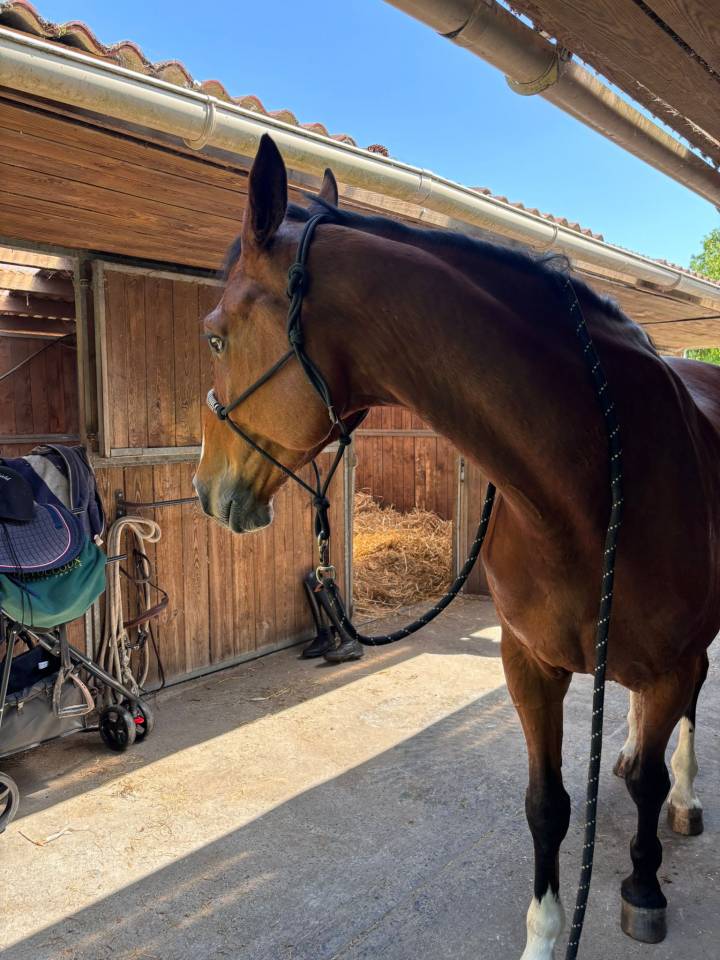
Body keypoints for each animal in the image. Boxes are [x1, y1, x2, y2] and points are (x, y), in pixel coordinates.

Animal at [194, 134, 720, 959]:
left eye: (216, 334)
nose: (205, 490)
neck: (585, 490)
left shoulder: (673, 661)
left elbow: (646, 783)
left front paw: (643, 885)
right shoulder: (528, 662)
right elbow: (547, 804)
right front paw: (542, 935)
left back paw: (684, 802)